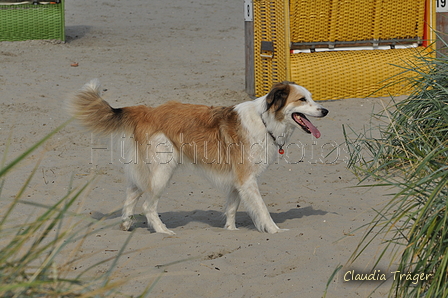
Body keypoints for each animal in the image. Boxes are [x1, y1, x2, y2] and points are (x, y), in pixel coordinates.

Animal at [69, 80, 328, 234]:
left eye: (311, 97)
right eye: (302, 99)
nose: (325, 110)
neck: (265, 120)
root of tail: (147, 111)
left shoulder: (237, 182)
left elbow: (232, 208)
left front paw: (230, 230)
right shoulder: (247, 180)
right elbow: (262, 209)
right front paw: (274, 231)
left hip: (148, 171)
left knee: (131, 194)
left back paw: (126, 223)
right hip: (163, 170)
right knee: (148, 205)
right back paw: (163, 231)